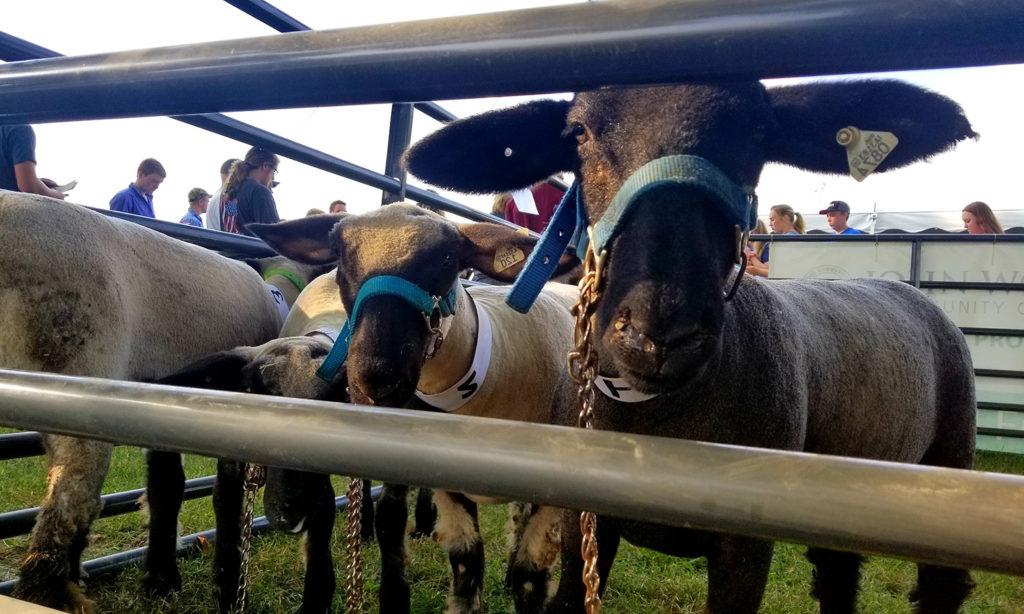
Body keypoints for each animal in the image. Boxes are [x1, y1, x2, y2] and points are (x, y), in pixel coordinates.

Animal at [0, 189, 323, 609]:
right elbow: (227, 498)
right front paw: (227, 586)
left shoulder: (162, 410)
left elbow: (165, 487)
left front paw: (161, 579)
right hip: (76, 369)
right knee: (69, 502)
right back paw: (48, 594)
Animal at [247, 206, 581, 614]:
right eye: (339, 253)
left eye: (449, 257)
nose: (376, 377)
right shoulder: (452, 488)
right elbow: (467, 565)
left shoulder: (553, 496)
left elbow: (529, 578)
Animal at [397, 77, 974, 614]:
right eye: (578, 133)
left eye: (759, 131)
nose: (660, 331)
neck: (657, 421)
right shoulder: (588, 522)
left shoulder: (745, 547)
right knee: (838, 575)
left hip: (950, 459)